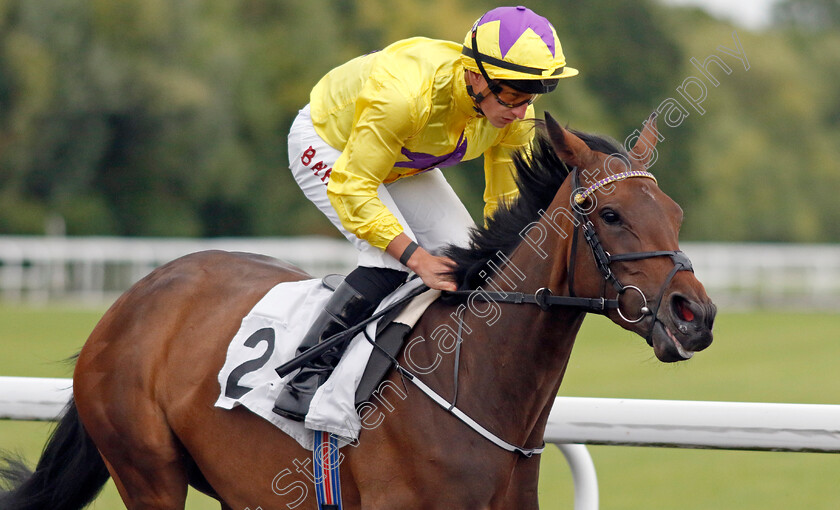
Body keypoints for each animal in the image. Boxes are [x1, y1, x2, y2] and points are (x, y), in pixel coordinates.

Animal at [1, 113, 716, 508]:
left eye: (675, 212)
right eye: (611, 214)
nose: (695, 316)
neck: (477, 380)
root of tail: (132, 299)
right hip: (147, 472)